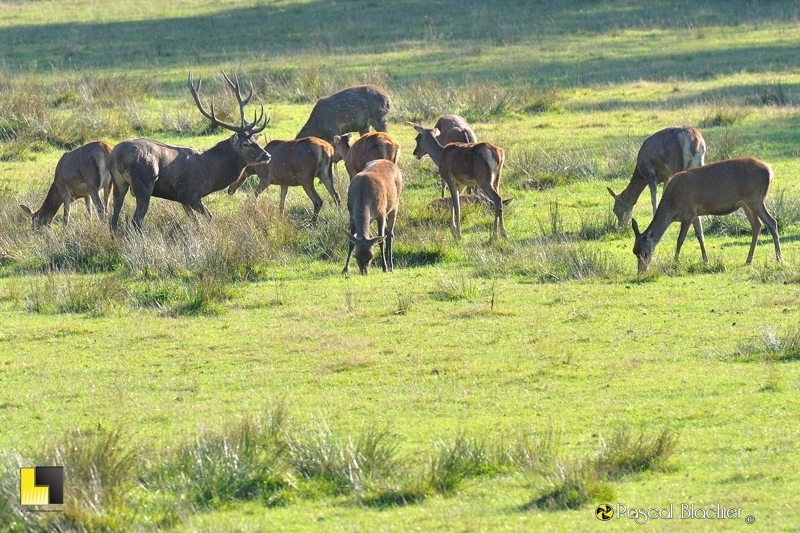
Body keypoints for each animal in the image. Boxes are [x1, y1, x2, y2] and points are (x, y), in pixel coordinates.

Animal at [108, 71, 270, 230]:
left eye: (255, 140)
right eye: (245, 144)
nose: (267, 155)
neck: (213, 172)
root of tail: (118, 156)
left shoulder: (182, 199)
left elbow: (195, 222)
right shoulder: (189, 193)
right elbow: (209, 217)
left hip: (118, 184)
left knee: (113, 219)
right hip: (145, 183)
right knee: (136, 221)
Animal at [632, 157, 780, 274]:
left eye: (645, 253)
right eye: (634, 252)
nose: (641, 271)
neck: (672, 204)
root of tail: (771, 172)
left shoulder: (688, 213)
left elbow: (680, 239)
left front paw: (675, 261)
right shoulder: (696, 213)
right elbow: (700, 236)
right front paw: (706, 261)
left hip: (755, 198)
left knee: (772, 222)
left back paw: (779, 258)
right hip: (746, 203)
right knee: (757, 225)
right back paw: (748, 260)